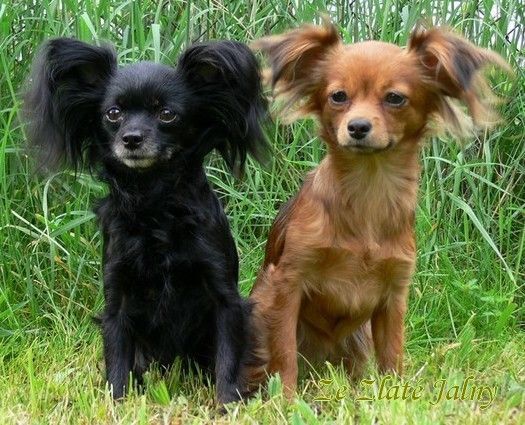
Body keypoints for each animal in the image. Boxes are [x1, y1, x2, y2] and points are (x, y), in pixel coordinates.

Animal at [23, 38, 266, 402]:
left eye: (167, 114)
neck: (154, 202)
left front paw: (226, 404)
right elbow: (117, 360)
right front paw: (117, 403)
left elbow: (227, 359)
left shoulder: (223, 296)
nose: (131, 138)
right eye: (113, 113)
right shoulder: (118, 297)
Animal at [248, 21, 510, 396]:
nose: (357, 127)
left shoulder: (393, 295)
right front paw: (285, 398)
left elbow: (392, 355)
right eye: (338, 96)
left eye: (395, 98)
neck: (369, 188)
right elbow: (284, 351)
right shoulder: (287, 283)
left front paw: (394, 394)